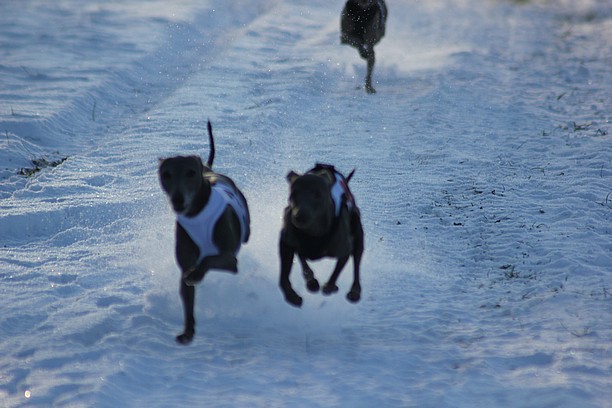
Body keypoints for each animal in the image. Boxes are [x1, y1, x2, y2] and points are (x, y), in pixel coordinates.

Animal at [161, 121, 252, 344]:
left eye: (191, 173)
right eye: (166, 174)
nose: (178, 199)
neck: (197, 213)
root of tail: (210, 169)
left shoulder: (230, 261)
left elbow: (208, 260)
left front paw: (197, 273)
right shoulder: (185, 263)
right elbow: (187, 294)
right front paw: (188, 331)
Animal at [278, 164, 364, 308]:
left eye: (317, 194)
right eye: (293, 194)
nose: (299, 216)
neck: (313, 233)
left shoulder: (344, 249)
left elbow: (337, 271)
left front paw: (329, 286)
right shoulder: (287, 242)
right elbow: (284, 275)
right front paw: (291, 295)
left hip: (358, 232)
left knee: (357, 261)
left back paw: (354, 291)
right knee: (301, 256)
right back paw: (310, 280)